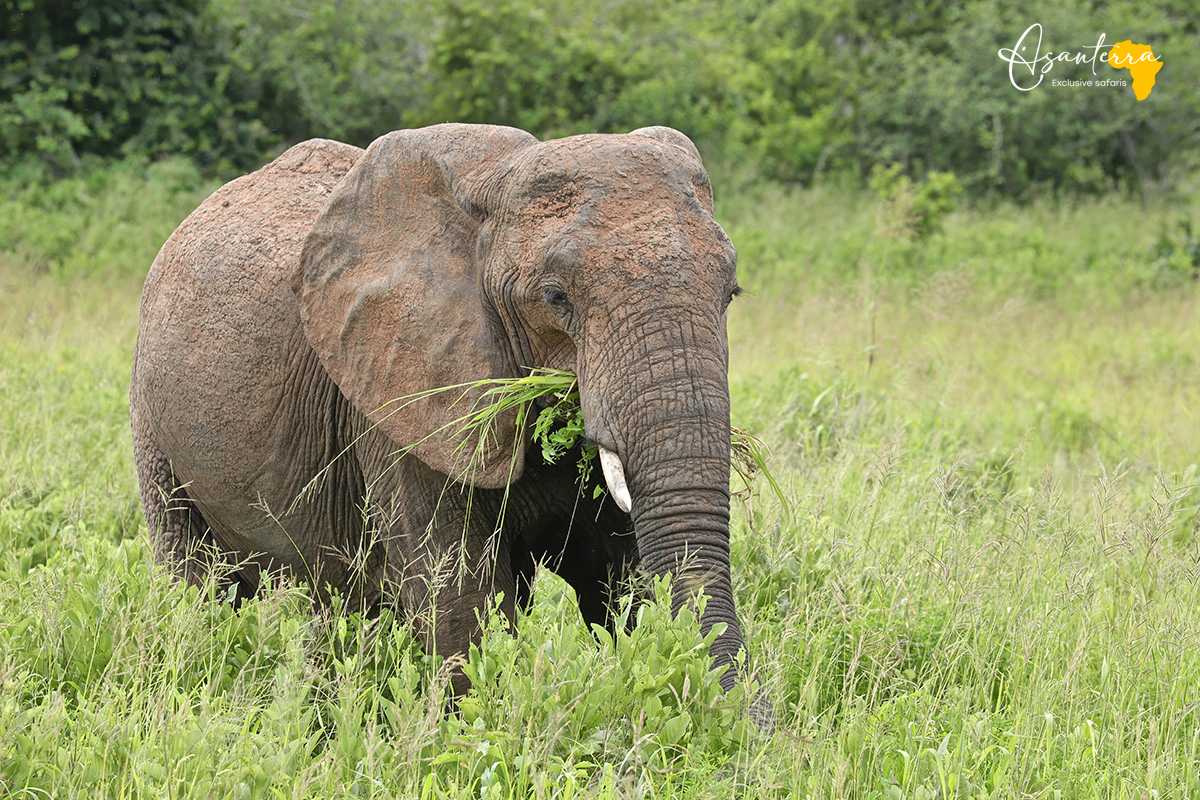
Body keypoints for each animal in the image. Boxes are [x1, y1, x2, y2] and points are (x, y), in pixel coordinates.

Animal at [130, 122, 766, 722]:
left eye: (732, 292)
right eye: (556, 297)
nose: (757, 724)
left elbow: (621, 577)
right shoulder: (399, 396)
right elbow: (460, 594)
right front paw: (471, 733)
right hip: (151, 417)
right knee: (196, 581)